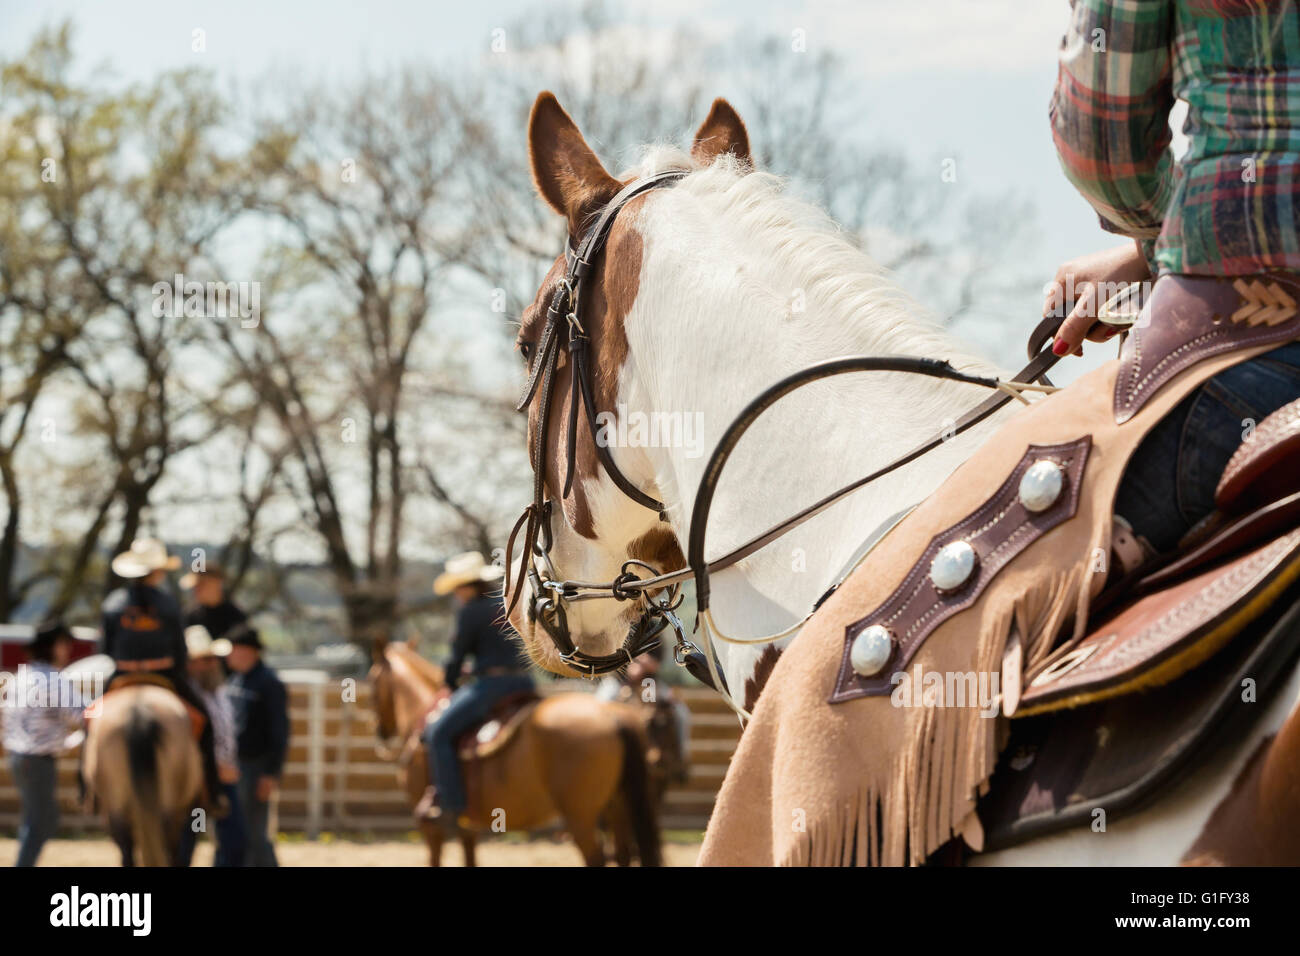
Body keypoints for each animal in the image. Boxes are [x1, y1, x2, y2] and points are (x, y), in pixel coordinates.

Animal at [367, 638, 661, 866]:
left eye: (372, 680)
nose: (381, 731)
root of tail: (611, 715)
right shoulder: (466, 826)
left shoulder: (430, 828)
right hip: (618, 808)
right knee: (623, 855)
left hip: (581, 817)